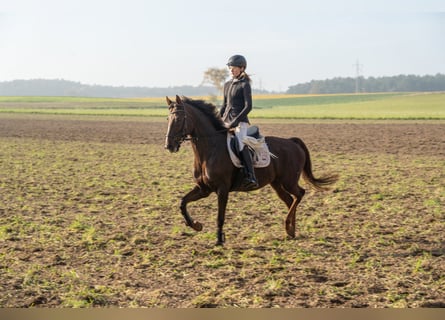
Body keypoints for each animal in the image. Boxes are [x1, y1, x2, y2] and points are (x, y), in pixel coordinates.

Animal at [164, 95, 336, 245]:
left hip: (289, 181)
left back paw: (288, 225)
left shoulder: (222, 189)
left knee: (299, 194)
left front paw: (219, 240)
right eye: (168, 119)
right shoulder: (203, 189)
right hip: (276, 183)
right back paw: (291, 230)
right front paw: (196, 225)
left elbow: (220, 216)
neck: (209, 150)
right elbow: (182, 203)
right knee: (289, 200)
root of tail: (292, 142)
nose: (169, 146)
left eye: (178, 119)